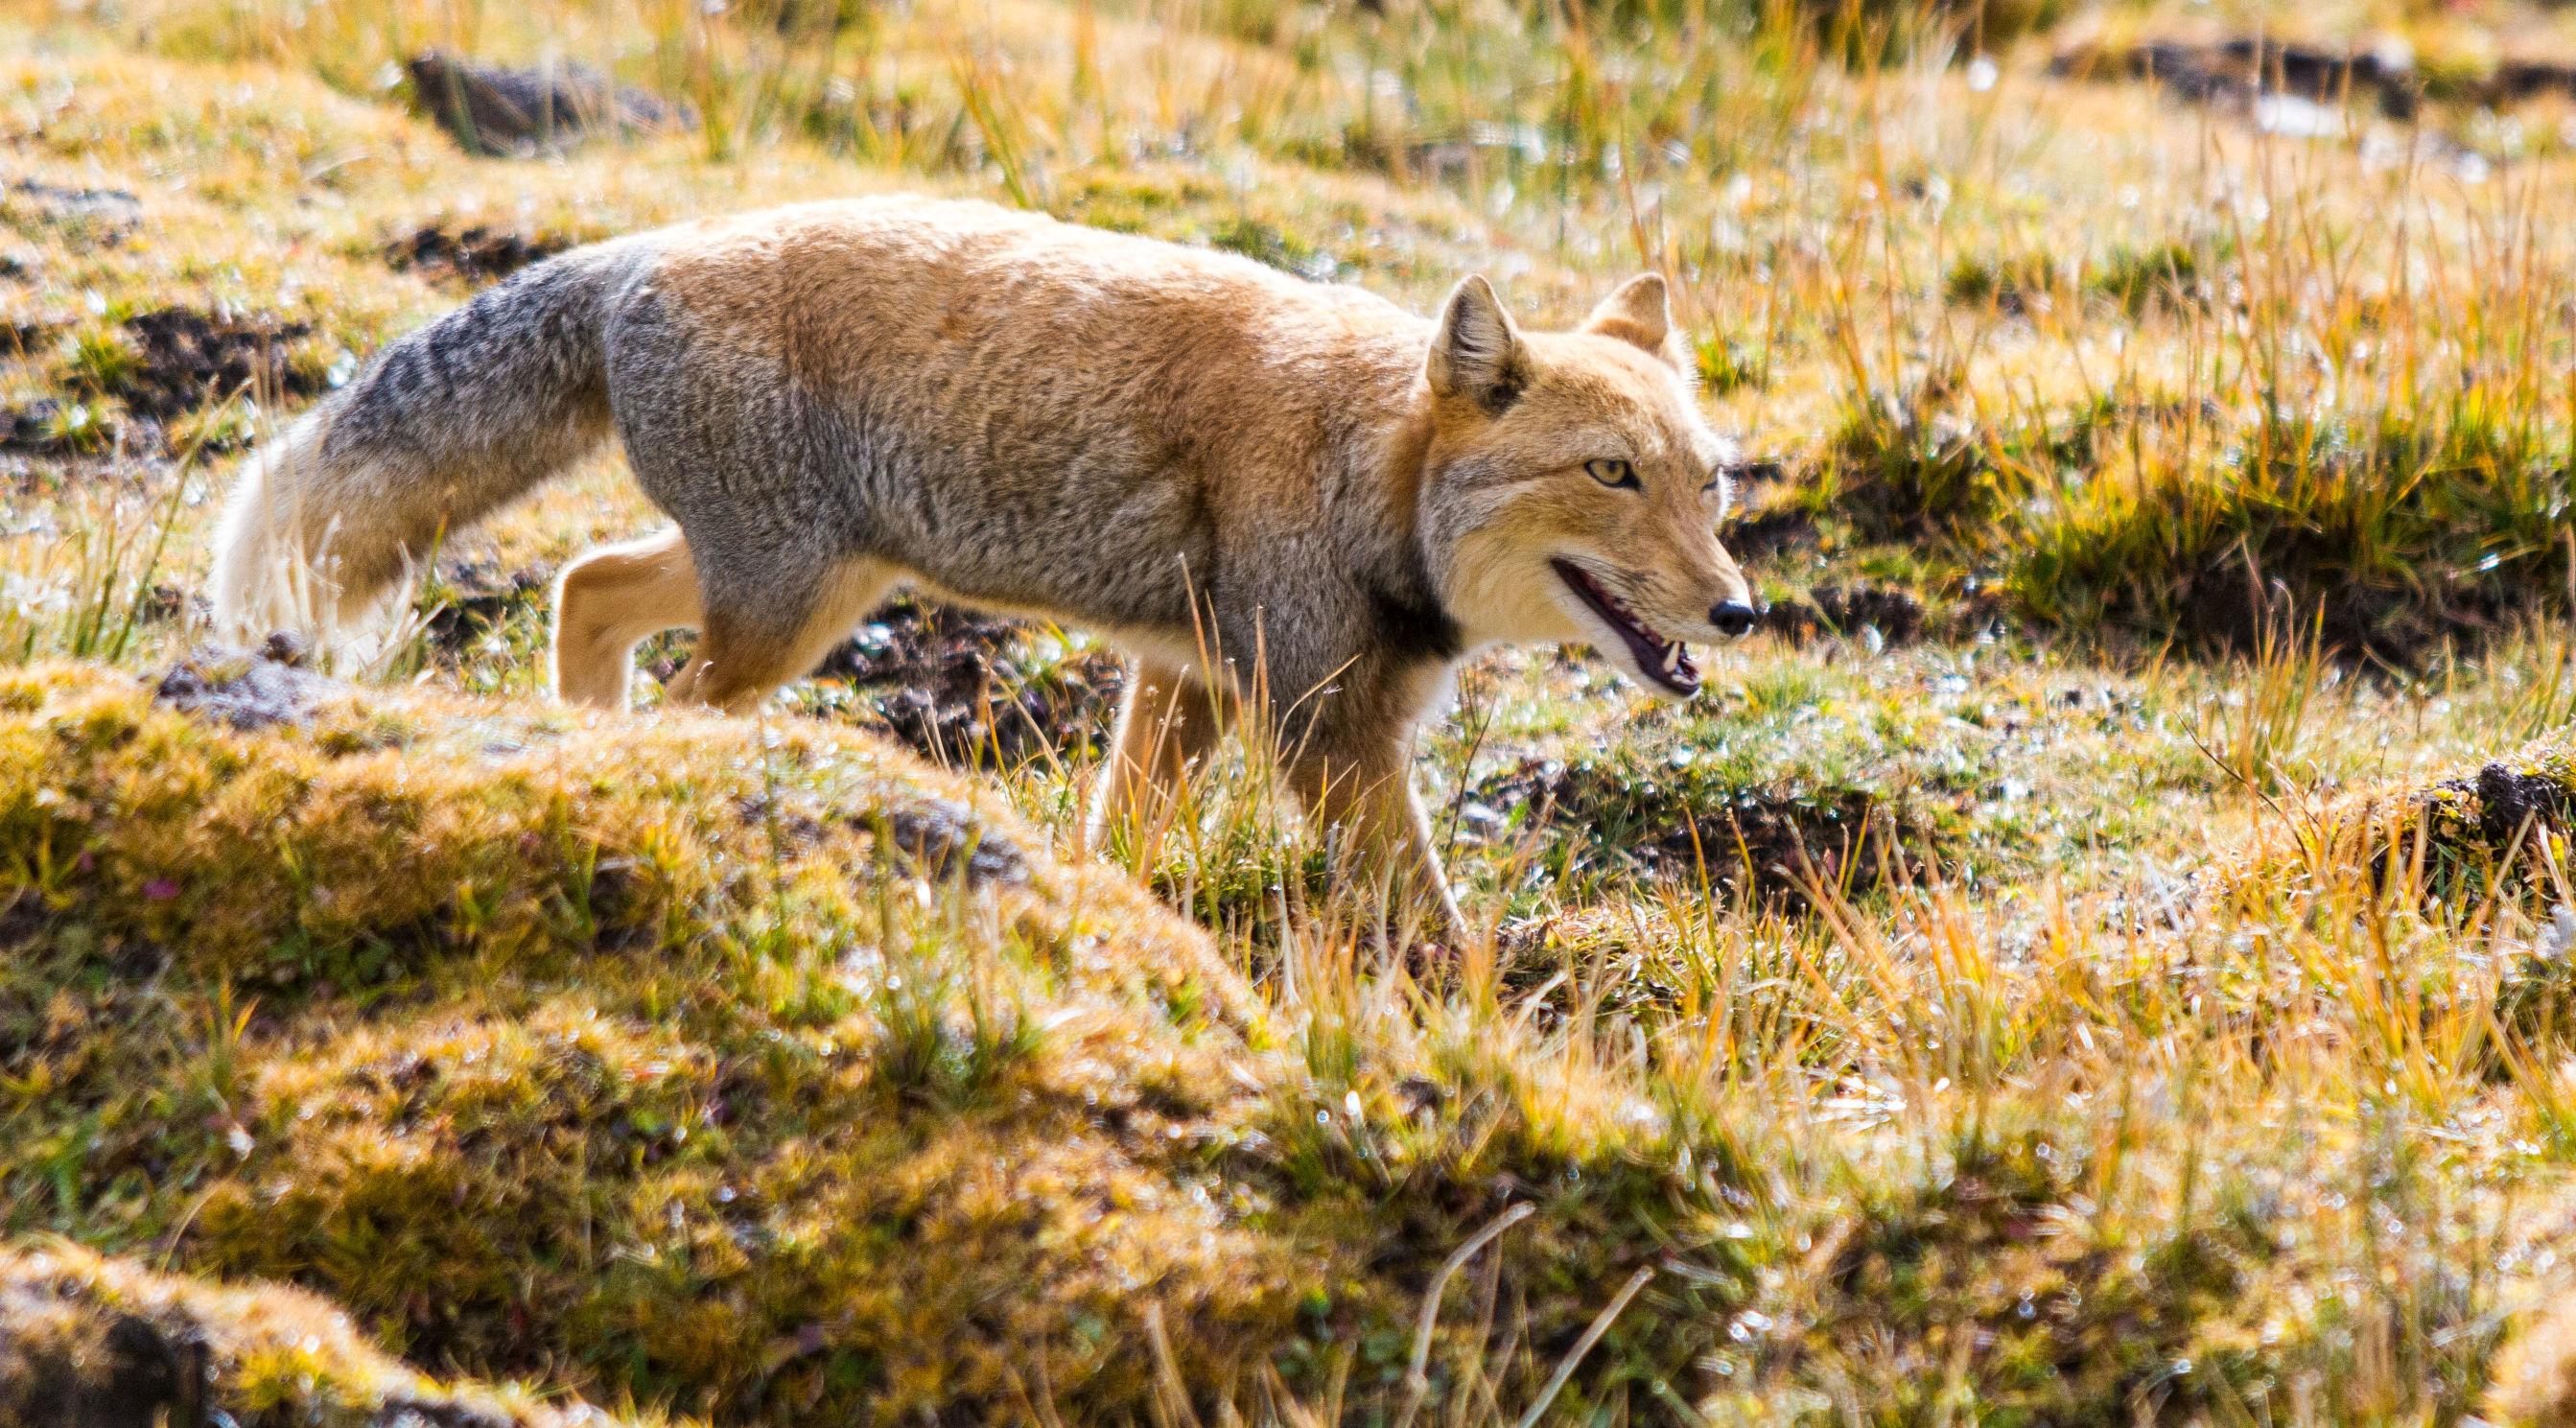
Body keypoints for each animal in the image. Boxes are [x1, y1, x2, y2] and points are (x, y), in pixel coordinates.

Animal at [211, 197, 1762, 932]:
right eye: (1609, 476)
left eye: (1710, 481)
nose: (1740, 611)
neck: (1365, 461)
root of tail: (645, 249)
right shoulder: (1327, 731)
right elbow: (1429, 924)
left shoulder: (1188, 684)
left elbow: (1116, 837)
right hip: (785, 615)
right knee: (651, 664)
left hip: (806, 588)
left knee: (583, 587)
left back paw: (585, 746)